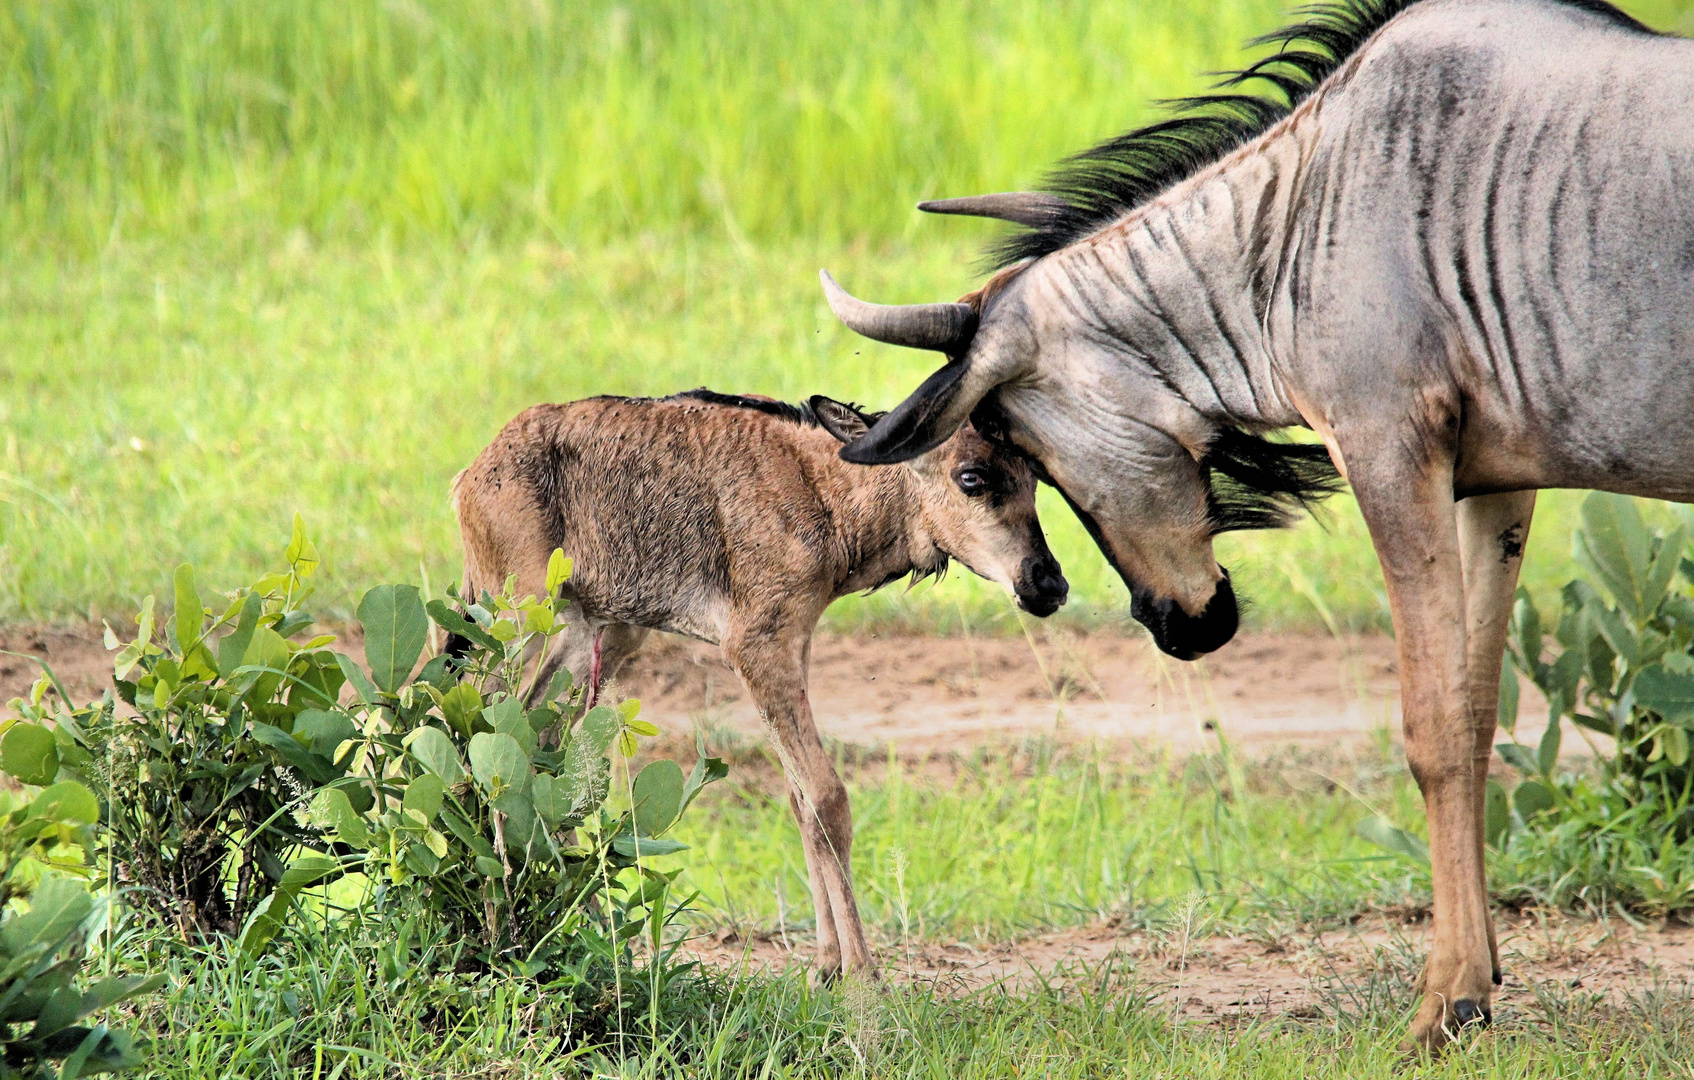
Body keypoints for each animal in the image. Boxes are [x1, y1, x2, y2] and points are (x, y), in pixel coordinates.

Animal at [443, 391, 1063, 981]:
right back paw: (504, 934)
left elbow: (800, 799)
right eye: (971, 476)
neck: (825, 493)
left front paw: (827, 966)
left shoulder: (795, 641)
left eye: (1034, 476)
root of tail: (471, 474)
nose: (1050, 583)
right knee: (476, 736)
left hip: (597, 633)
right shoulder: (755, 647)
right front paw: (865, 978)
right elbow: (827, 797)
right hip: (517, 619)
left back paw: (594, 941)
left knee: (541, 747)